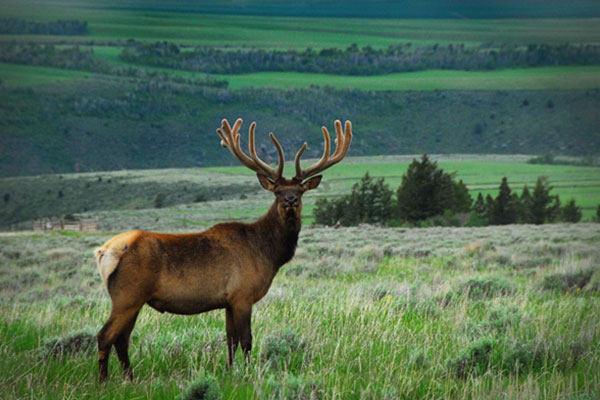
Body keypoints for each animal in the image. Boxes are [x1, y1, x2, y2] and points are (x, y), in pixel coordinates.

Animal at [94, 116, 352, 382]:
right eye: (277, 191)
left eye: (300, 191)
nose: (290, 200)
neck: (267, 253)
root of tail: (105, 252)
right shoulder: (242, 295)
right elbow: (246, 340)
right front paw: (247, 374)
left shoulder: (228, 301)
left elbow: (230, 341)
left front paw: (228, 371)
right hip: (128, 295)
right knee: (105, 335)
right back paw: (103, 381)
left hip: (133, 299)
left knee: (121, 339)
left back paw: (130, 378)